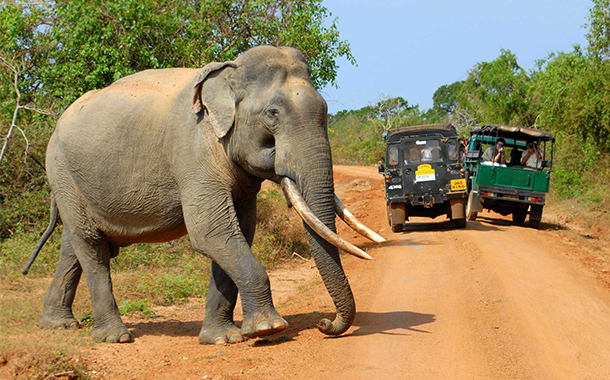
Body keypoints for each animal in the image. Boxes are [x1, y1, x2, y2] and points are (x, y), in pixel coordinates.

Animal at [25, 46, 384, 346]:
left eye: (325, 110)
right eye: (272, 114)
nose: (325, 324)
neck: (228, 73)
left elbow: (239, 231)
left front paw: (223, 339)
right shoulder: (193, 151)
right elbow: (211, 232)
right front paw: (268, 329)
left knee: (74, 244)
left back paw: (57, 324)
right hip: (61, 169)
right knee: (91, 245)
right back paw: (115, 337)